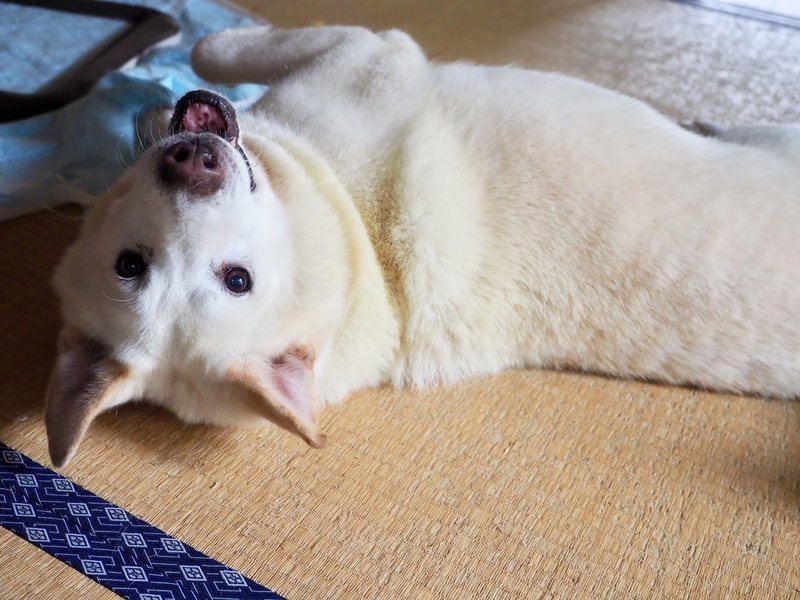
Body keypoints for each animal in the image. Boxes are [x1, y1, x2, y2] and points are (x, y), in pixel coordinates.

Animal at [45, 26, 800, 467]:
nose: (191, 161)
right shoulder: (376, 53)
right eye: (134, 266)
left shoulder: (370, 52)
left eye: (235, 279)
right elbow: (233, 53)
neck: (372, 260)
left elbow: (218, 50)